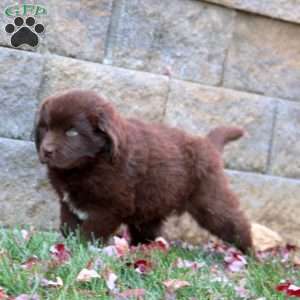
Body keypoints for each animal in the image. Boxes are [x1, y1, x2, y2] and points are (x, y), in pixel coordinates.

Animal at [35, 89, 253, 253]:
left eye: (72, 132)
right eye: (45, 128)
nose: (46, 150)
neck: (88, 164)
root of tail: (208, 143)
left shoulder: (109, 208)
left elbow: (91, 231)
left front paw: (79, 248)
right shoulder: (68, 204)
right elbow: (67, 226)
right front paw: (66, 246)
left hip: (210, 200)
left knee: (235, 223)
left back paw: (253, 257)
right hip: (151, 207)